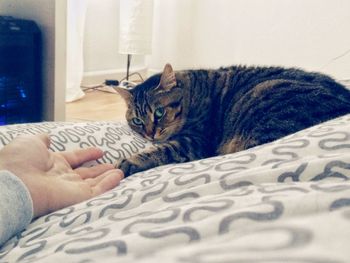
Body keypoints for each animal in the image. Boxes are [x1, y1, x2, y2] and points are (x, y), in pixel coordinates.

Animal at [116, 64, 350, 177]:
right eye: (137, 121)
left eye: (158, 113)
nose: (149, 134)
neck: (193, 93)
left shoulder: (194, 142)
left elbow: (161, 150)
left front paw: (129, 161)